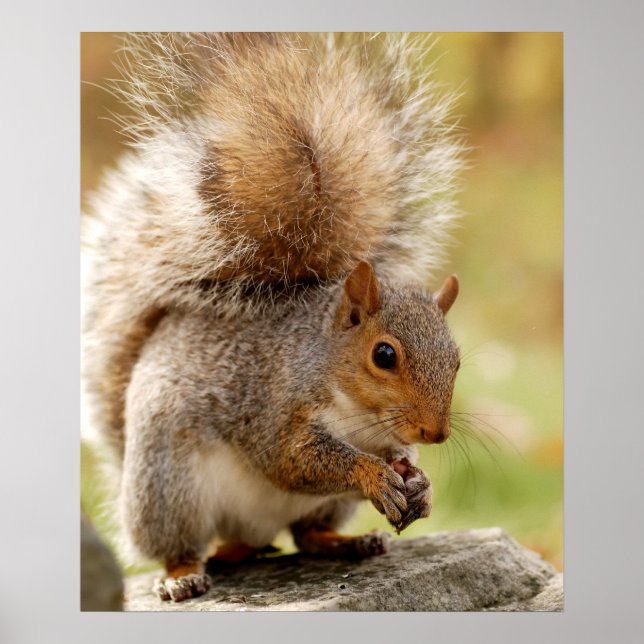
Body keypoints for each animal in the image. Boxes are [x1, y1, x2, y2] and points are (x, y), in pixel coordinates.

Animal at [82, 32, 465, 602]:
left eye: (457, 360)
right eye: (384, 354)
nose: (435, 434)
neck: (357, 413)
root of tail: (248, 533)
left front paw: (421, 486)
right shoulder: (273, 406)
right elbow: (292, 459)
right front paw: (373, 474)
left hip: (324, 505)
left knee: (304, 535)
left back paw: (346, 542)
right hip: (169, 486)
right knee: (179, 544)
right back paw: (183, 575)